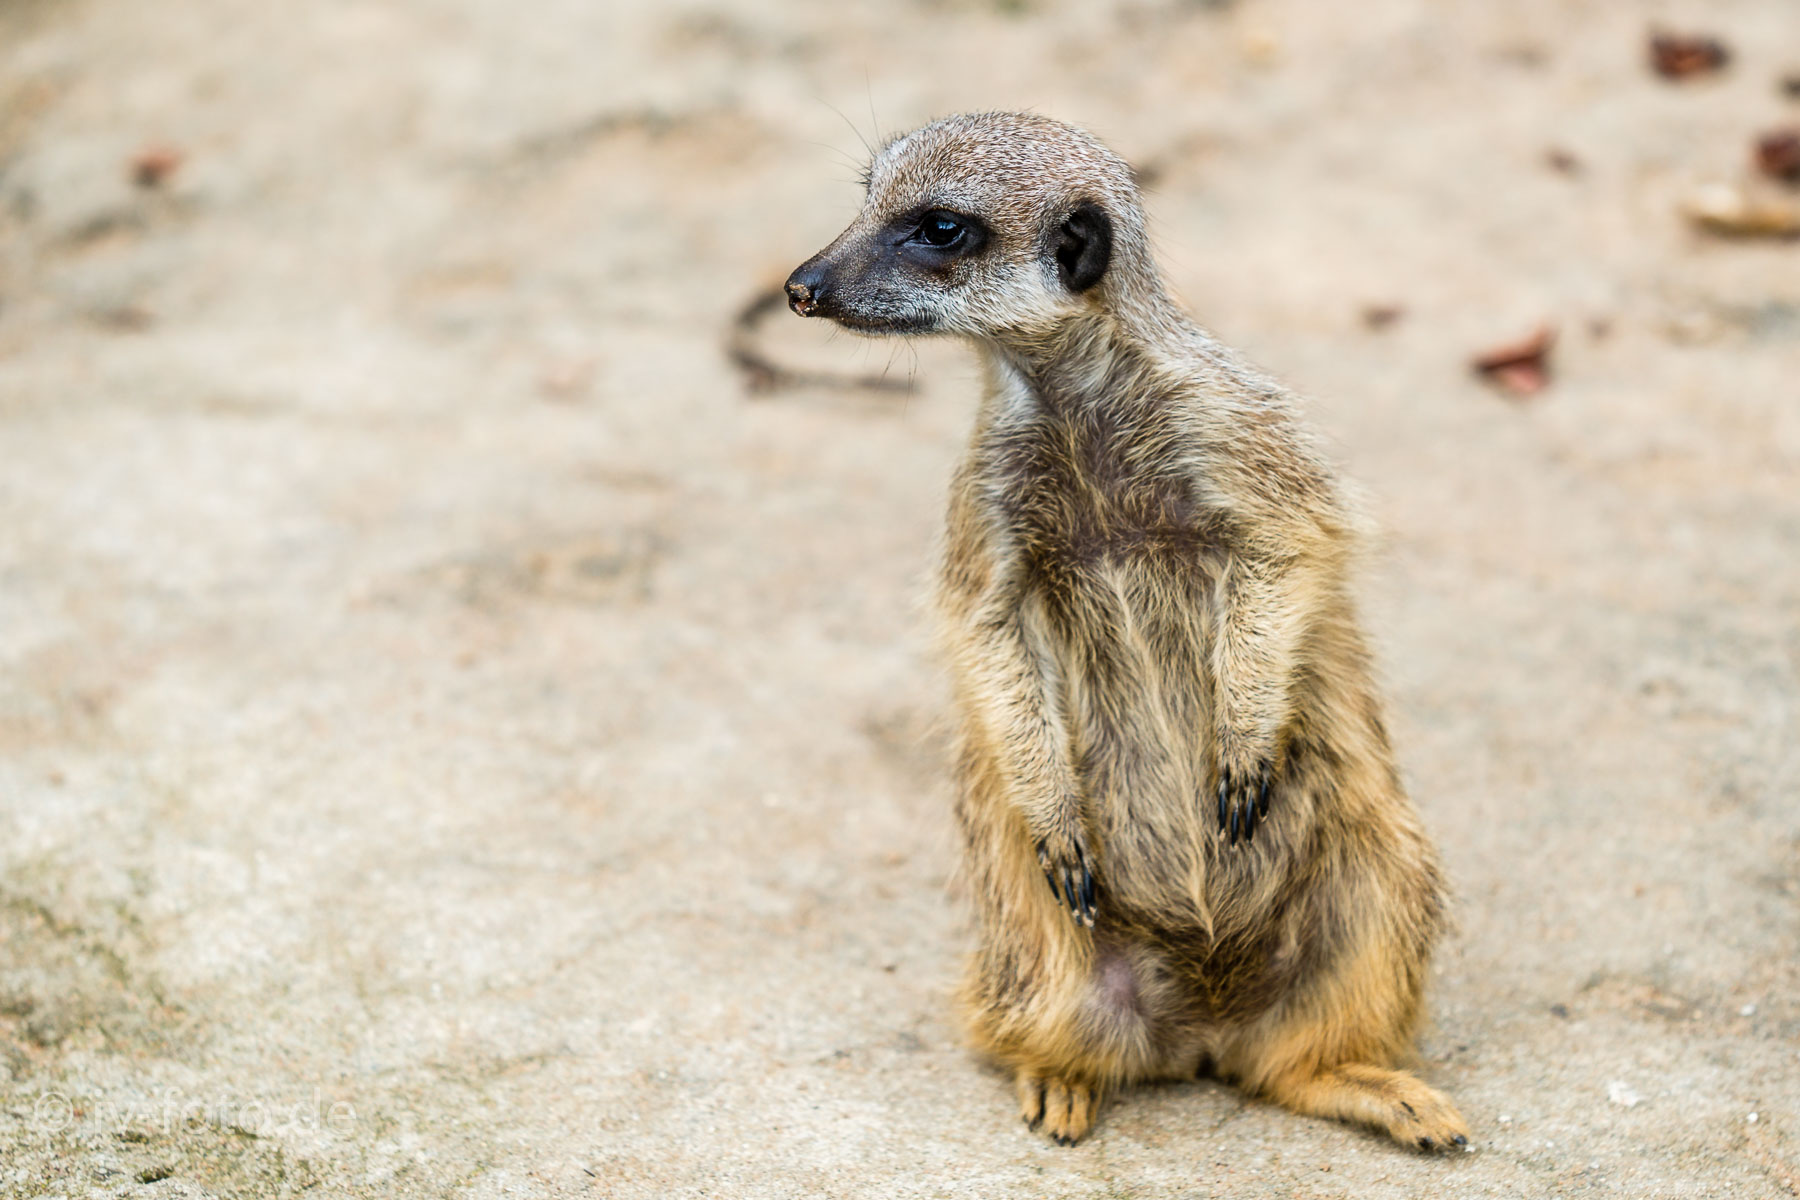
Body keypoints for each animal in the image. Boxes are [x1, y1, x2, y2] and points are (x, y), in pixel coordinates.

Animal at [785, 111, 1467, 1152]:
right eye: (866, 196)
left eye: (939, 228)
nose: (802, 285)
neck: (1074, 397)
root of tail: (1207, 1022)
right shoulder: (983, 502)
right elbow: (984, 624)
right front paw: (1057, 814)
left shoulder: (1236, 430)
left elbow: (1289, 549)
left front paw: (1243, 736)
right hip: (1029, 929)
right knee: (1042, 997)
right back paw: (1061, 1080)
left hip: (1376, 856)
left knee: (1307, 1035)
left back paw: (1367, 1082)